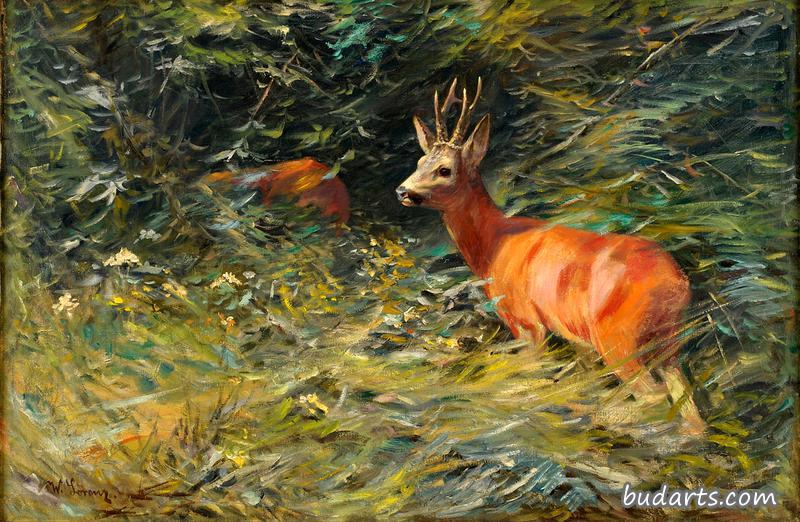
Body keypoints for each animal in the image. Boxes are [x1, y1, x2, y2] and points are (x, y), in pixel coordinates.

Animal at [396, 79, 705, 434]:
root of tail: (678, 283)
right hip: (668, 343)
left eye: (444, 169)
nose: (402, 191)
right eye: (419, 162)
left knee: (651, 395)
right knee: (687, 402)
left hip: (617, 337)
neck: (494, 245)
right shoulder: (574, 337)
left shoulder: (525, 320)